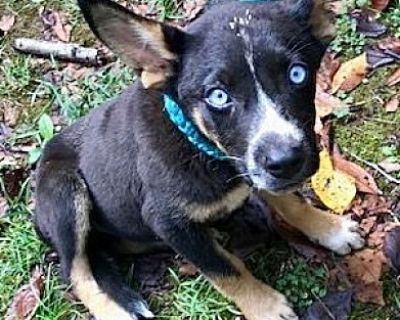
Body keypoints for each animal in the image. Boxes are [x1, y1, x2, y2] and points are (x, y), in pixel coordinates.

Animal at [35, 0, 366, 318]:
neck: (200, 145)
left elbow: (291, 201)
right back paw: (116, 311)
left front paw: (329, 229)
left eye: (297, 74)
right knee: (76, 272)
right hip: (63, 191)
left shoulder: (251, 168)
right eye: (217, 96)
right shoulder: (166, 220)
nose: (286, 161)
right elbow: (225, 271)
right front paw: (267, 308)